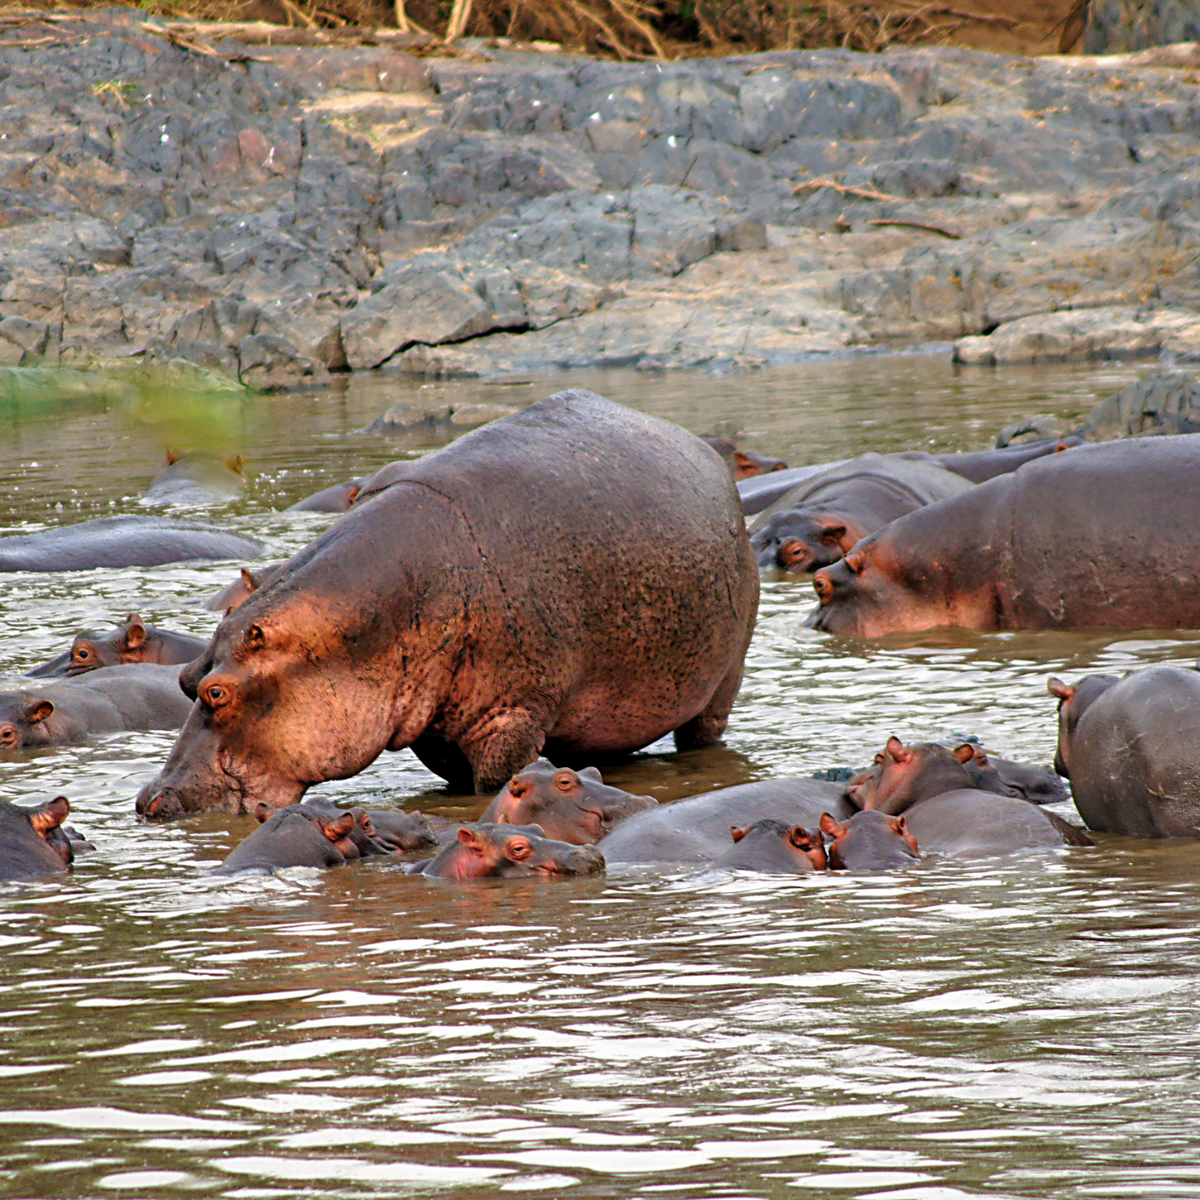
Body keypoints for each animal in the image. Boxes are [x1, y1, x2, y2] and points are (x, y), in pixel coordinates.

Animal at [137, 390, 759, 818]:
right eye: (186, 681)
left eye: (218, 693)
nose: (149, 800)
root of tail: (700, 449)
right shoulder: (437, 732)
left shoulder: (512, 715)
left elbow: (495, 783)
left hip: (721, 684)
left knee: (704, 730)